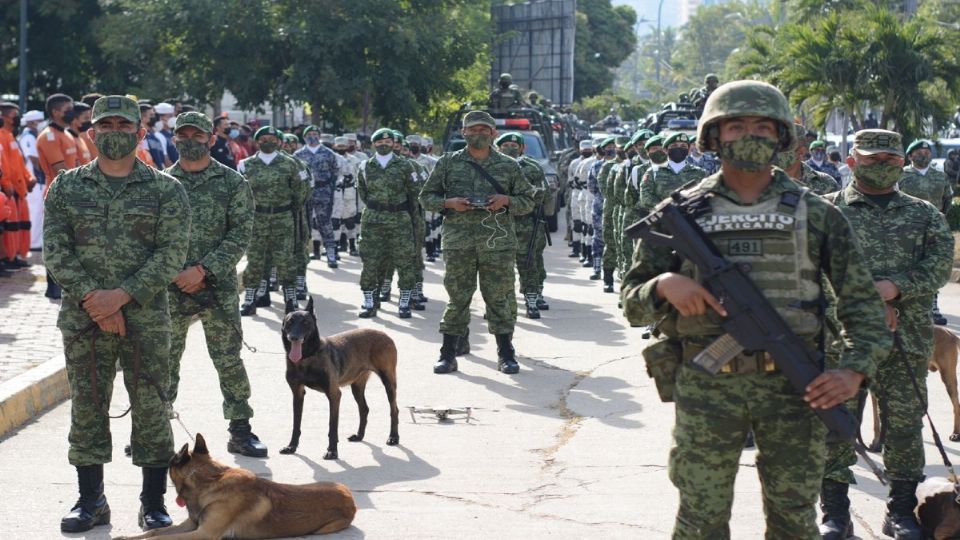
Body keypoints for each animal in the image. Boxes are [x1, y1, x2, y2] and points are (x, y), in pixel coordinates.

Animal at [116, 434, 356, 540]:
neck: (211, 480)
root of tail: (350, 497)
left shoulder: (203, 533)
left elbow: (159, 538)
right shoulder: (192, 525)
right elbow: (155, 531)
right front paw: (127, 537)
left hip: (325, 528)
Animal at [280, 298, 400, 458]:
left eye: (305, 322)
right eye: (290, 322)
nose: (294, 337)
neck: (307, 358)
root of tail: (385, 334)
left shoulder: (334, 395)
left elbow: (332, 426)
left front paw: (332, 451)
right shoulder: (298, 394)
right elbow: (296, 424)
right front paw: (291, 446)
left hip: (388, 382)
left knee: (394, 410)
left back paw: (393, 437)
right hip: (357, 387)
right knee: (364, 409)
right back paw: (359, 435)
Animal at [872, 324, 960, 452]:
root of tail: (950, 333)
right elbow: (875, 421)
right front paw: (876, 442)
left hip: (948, 377)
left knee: (956, 405)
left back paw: (956, 433)